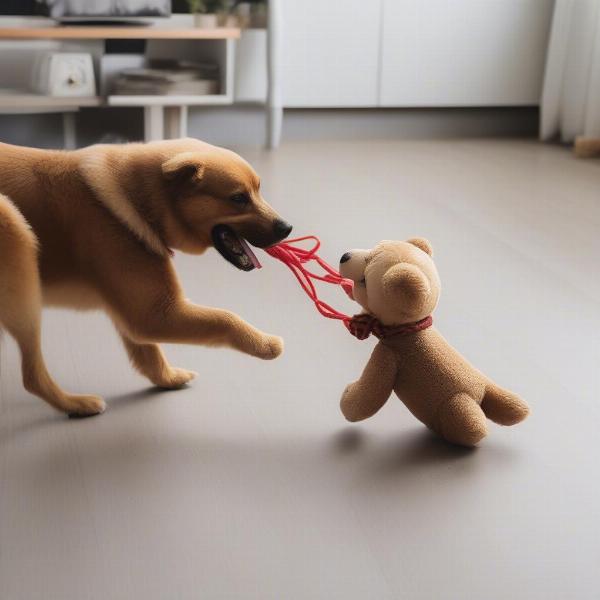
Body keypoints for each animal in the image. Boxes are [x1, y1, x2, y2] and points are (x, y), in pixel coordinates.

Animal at [0, 138, 292, 414]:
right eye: (238, 198)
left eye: (258, 190)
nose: (287, 227)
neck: (139, 199)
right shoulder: (156, 314)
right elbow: (226, 319)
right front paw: (266, 344)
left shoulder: (136, 311)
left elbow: (149, 353)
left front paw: (169, 378)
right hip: (17, 240)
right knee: (32, 377)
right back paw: (75, 404)